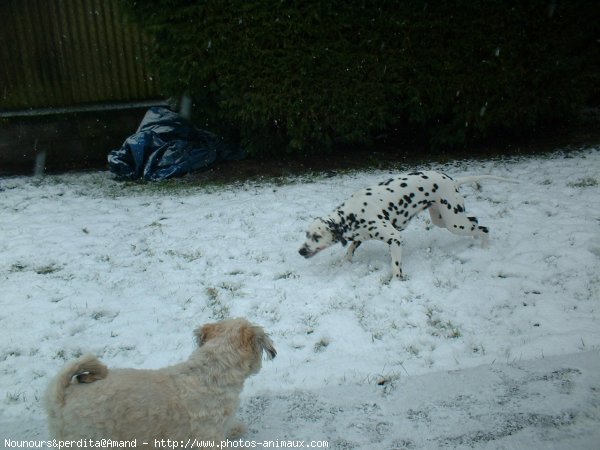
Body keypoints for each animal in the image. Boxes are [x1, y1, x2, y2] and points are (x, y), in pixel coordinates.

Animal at [300, 171, 516, 280]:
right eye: (306, 235)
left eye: (316, 237)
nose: (301, 251)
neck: (351, 214)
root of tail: (453, 180)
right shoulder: (360, 236)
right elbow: (350, 250)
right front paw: (344, 261)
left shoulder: (394, 238)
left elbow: (396, 267)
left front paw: (396, 282)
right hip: (444, 219)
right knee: (475, 221)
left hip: (454, 222)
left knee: (484, 228)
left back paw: (485, 248)